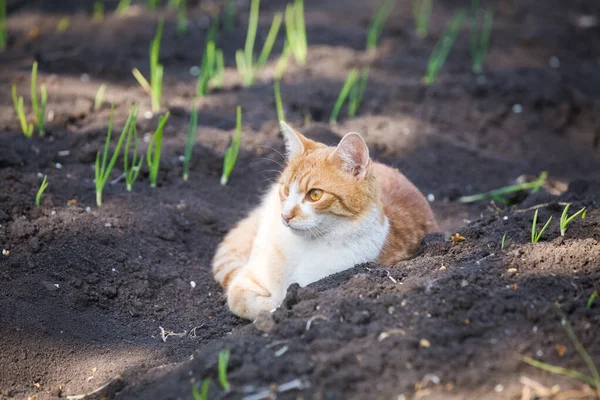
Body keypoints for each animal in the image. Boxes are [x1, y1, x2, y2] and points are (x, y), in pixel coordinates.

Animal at [211, 120, 436, 320]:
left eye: (315, 195)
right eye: (286, 190)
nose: (285, 215)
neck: (304, 247)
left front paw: (279, 304)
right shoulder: (252, 273)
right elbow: (237, 298)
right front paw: (273, 304)